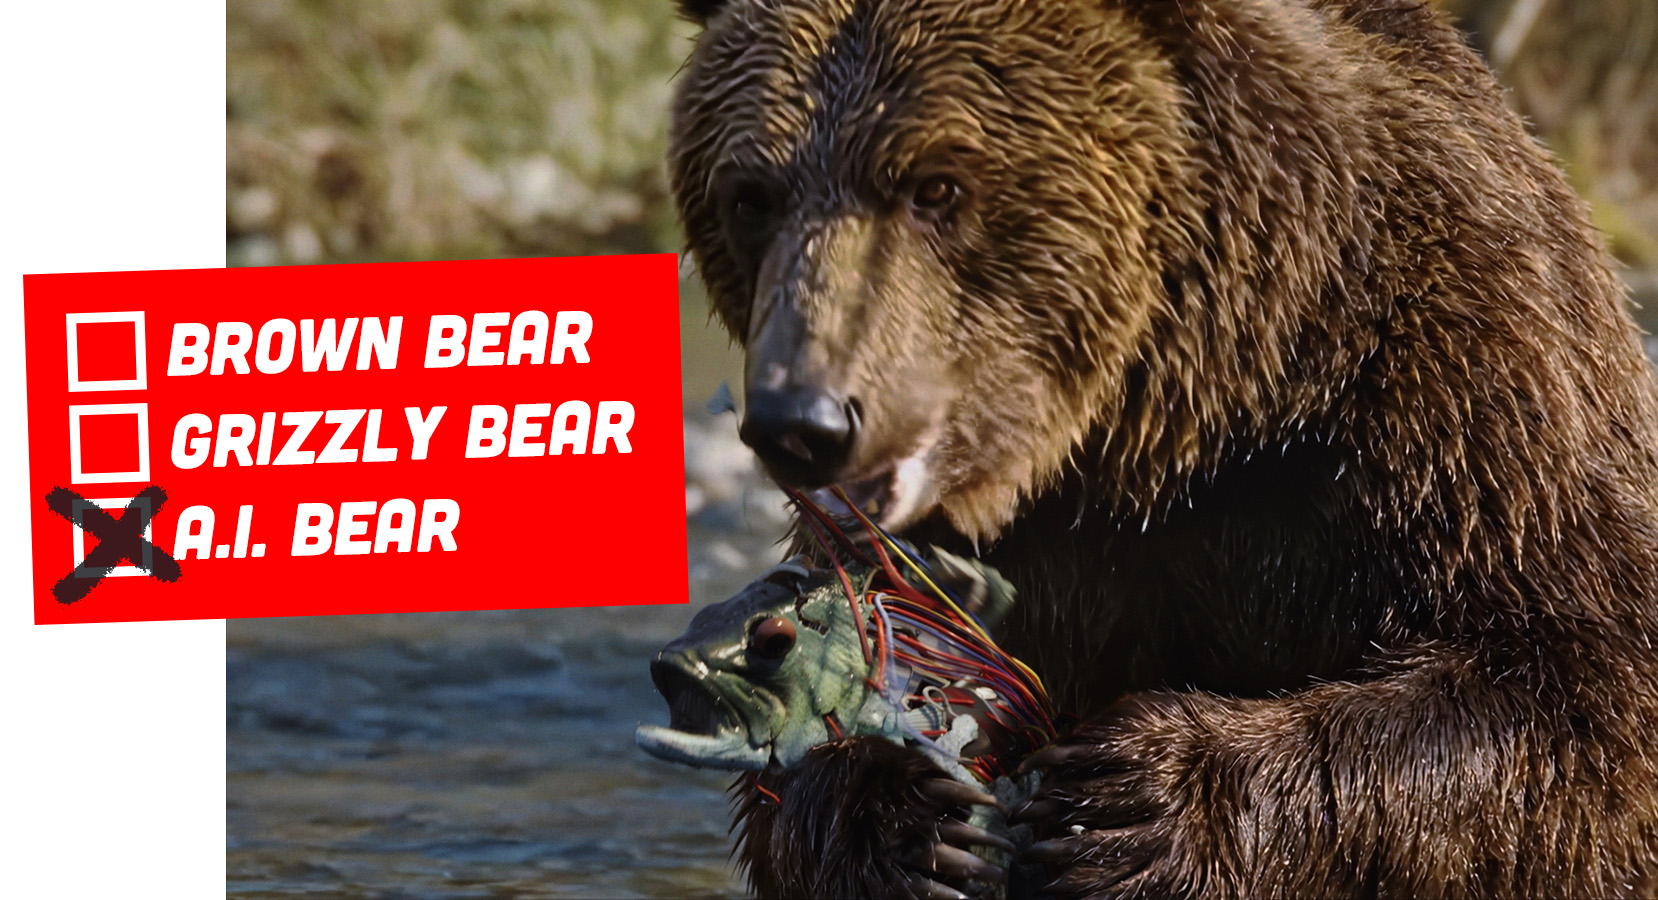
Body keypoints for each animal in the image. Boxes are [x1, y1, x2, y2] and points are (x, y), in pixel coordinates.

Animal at [667, 0, 1658, 897]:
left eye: (935, 187)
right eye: (751, 196)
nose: (803, 420)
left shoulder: (1455, 392)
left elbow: (1568, 692)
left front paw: (1132, 798)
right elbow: (791, 788)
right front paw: (918, 818)